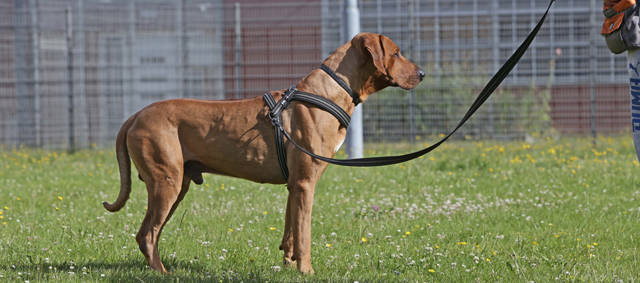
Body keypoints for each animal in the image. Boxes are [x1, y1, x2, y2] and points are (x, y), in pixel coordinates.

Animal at [102, 32, 424, 276]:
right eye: (397, 53)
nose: (422, 74)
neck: (329, 91)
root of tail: (136, 115)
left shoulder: (295, 186)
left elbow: (291, 232)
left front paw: (289, 265)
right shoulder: (305, 184)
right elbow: (304, 235)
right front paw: (306, 271)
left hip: (176, 185)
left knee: (147, 234)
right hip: (166, 182)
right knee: (148, 235)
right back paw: (163, 274)